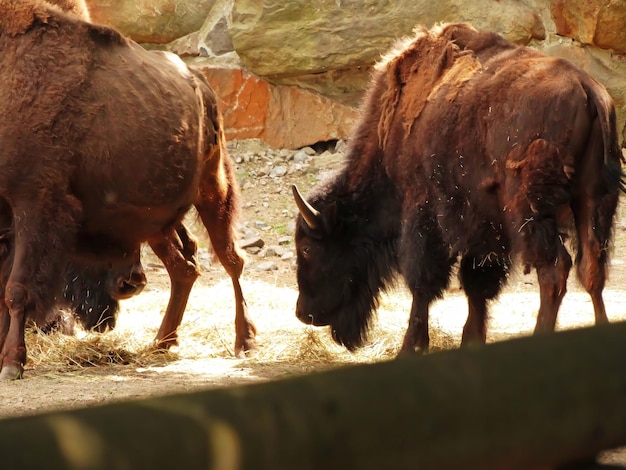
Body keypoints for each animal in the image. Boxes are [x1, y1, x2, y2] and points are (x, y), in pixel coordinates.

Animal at [0, 0, 256, 378]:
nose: (130, 284)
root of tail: (200, 84)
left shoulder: (33, 204)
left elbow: (16, 289)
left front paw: (12, 363)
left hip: (214, 188)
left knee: (230, 259)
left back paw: (244, 341)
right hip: (156, 222)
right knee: (184, 268)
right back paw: (162, 342)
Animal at [292, 22, 624, 352]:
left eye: (307, 248)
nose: (303, 313)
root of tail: (588, 88)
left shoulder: (424, 214)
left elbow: (422, 282)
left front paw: (411, 347)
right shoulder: (484, 229)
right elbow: (477, 284)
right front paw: (471, 340)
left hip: (530, 211)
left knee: (554, 269)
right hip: (593, 201)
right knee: (591, 269)